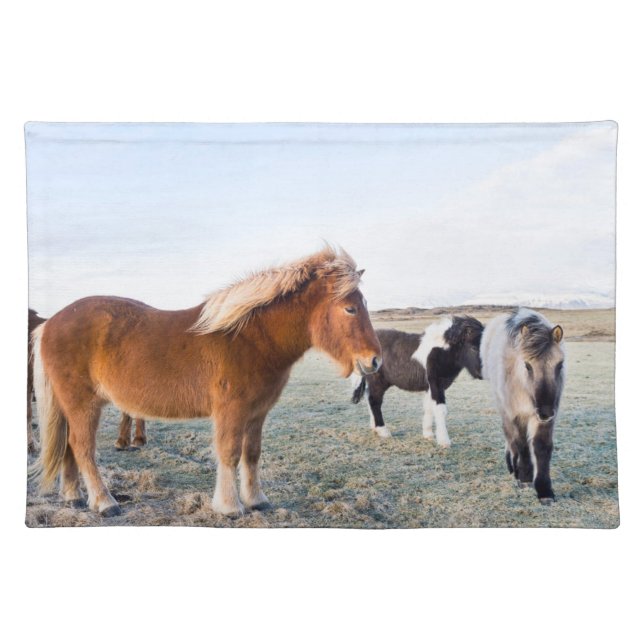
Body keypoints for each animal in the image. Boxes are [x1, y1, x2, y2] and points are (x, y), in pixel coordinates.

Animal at [351, 316, 484, 445]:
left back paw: (374, 427)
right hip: (378, 381)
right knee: (374, 401)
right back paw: (383, 431)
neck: (441, 351)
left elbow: (429, 407)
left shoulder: (430, 386)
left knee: (369, 397)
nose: (481, 374)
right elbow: (440, 409)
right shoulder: (436, 383)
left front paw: (428, 434)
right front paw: (444, 441)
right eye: (473, 348)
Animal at [480, 308, 565, 504]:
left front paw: (545, 490)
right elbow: (522, 445)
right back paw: (513, 467)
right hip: (503, 406)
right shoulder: (516, 414)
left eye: (560, 365)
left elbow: (542, 447)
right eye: (527, 366)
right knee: (510, 437)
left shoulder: (545, 420)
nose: (545, 412)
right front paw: (525, 478)